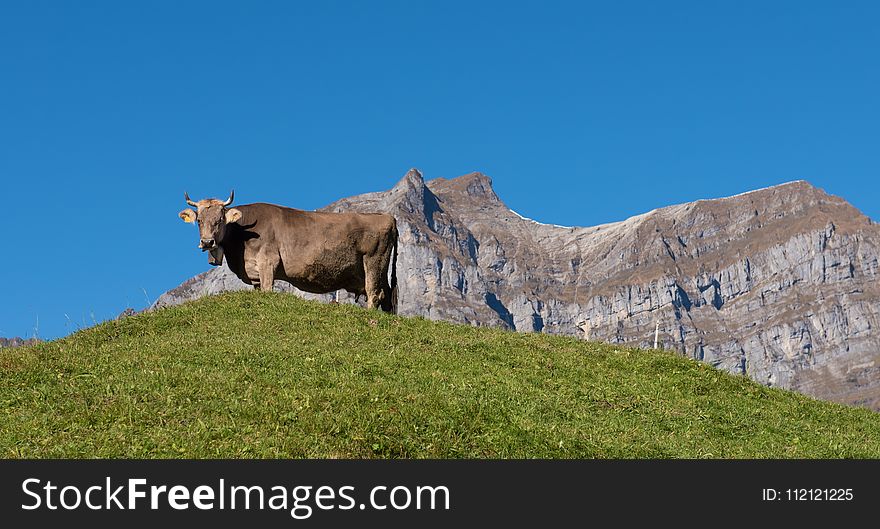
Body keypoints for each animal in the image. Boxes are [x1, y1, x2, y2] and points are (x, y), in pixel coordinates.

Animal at [179, 191, 398, 312]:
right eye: (199, 221)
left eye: (219, 220)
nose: (207, 242)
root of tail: (388, 217)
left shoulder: (268, 262)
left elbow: (268, 289)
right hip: (380, 269)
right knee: (387, 296)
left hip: (373, 261)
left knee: (374, 293)